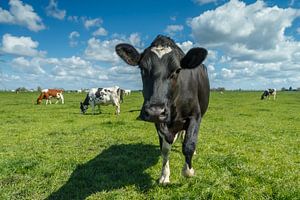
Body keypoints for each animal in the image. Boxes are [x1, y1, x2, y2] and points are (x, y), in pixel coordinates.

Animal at [116, 34, 210, 184]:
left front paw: (188, 170)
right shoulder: (158, 121)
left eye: (177, 70)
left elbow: (189, 145)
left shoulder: (195, 115)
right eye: (142, 69)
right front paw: (164, 175)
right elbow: (165, 149)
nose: (155, 111)